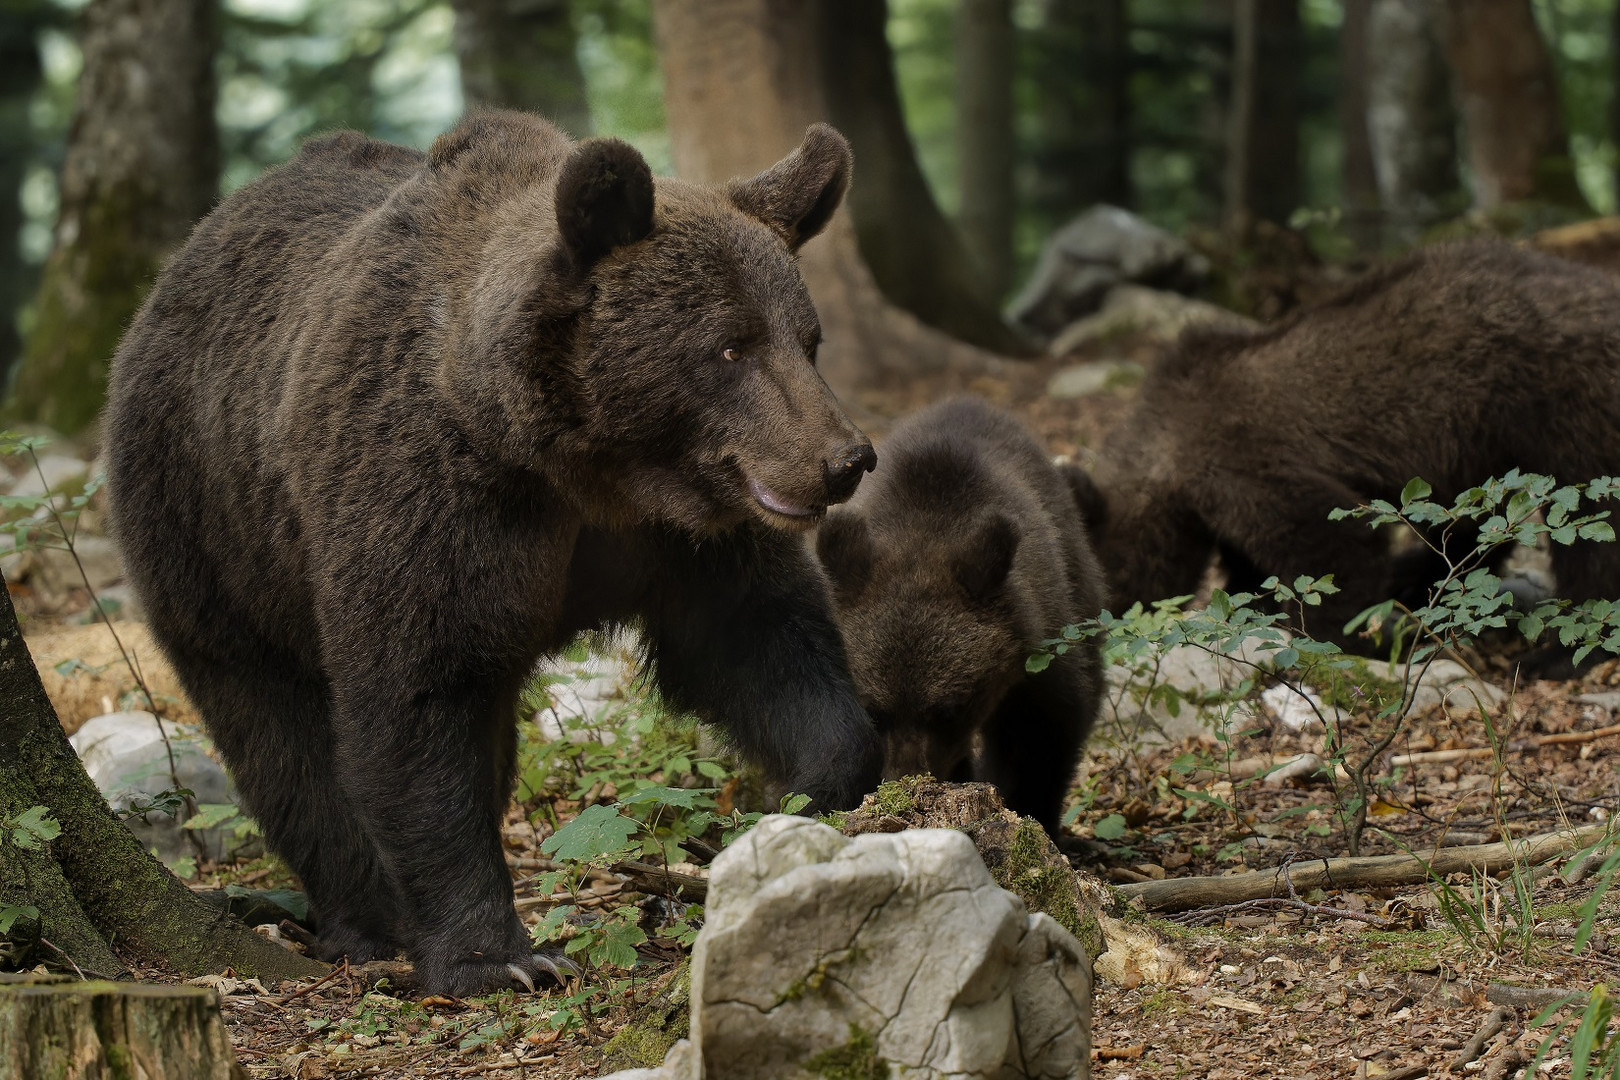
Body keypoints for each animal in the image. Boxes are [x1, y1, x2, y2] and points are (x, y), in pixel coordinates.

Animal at [106, 111, 881, 997]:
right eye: (728, 347)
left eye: (807, 339)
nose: (845, 458)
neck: (578, 463)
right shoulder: (428, 500)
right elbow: (417, 701)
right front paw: (497, 957)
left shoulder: (680, 536)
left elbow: (759, 641)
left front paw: (808, 793)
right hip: (210, 531)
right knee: (277, 734)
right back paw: (366, 920)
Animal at [816, 396, 1108, 835]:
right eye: (875, 710)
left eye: (949, 709)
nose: (906, 780)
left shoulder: (1042, 645)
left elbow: (1044, 731)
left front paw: (1031, 812)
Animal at [1075, 241, 1620, 647]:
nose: (1106, 632)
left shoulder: (1238, 463)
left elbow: (1335, 547)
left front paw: (1327, 637)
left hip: (1561, 398)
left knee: (1593, 522)